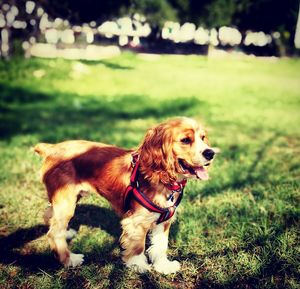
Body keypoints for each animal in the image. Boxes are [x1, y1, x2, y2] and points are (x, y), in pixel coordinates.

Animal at [34, 116, 216, 272]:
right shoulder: (136, 222)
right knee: (54, 233)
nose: (210, 153)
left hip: (67, 199)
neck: (162, 178)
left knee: (49, 215)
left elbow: (160, 246)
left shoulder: (164, 221)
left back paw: (67, 233)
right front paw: (138, 265)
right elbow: (138, 246)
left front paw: (163, 266)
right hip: (66, 201)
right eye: (185, 140)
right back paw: (70, 259)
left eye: (203, 138)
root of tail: (52, 148)